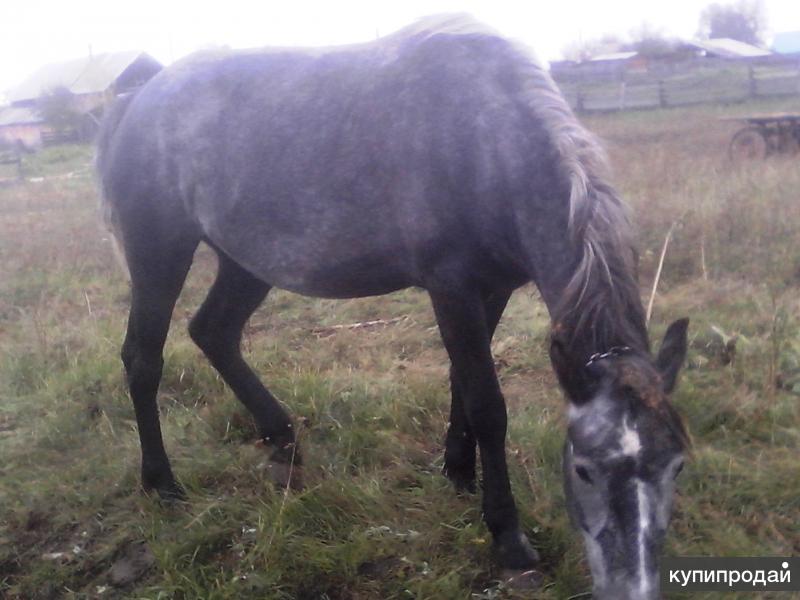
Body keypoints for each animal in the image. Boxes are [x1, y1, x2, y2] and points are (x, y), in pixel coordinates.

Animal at [98, 14, 688, 600]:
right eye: (585, 468)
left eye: (676, 464)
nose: (632, 579)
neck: (487, 139)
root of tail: (138, 100)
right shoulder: (451, 288)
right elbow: (487, 404)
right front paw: (507, 537)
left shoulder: (491, 288)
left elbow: (460, 382)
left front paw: (457, 472)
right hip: (160, 254)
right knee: (144, 359)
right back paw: (163, 484)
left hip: (245, 263)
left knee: (213, 332)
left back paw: (283, 440)